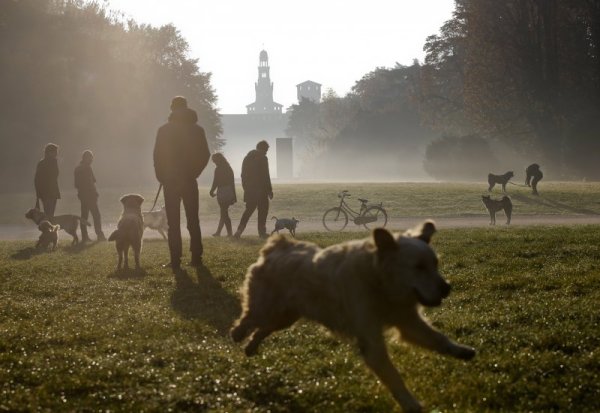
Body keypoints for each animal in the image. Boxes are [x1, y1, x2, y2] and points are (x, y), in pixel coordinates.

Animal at [232, 220, 476, 410]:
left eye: (435, 264)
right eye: (418, 267)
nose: (447, 288)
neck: (379, 281)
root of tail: (276, 247)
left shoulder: (407, 322)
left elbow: (438, 339)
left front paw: (461, 351)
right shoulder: (371, 339)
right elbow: (394, 377)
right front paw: (411, 404)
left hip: (285, 317)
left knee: (262, 329)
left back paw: (250, 347)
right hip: (267, 308)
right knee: (248, 318)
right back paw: (237, 334)